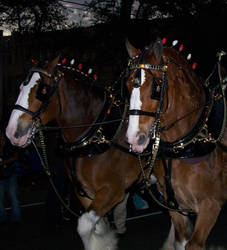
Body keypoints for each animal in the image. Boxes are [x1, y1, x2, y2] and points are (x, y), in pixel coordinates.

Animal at [5, 55, 158, 250]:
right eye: (19, 88)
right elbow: (94, 228)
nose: (12, 132)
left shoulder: (113, 190)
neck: (95, 134)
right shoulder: (85, 193)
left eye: (43, 91)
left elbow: (84, 225)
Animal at [125, 37, 227, 250]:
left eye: (156, 87)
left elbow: (193, 245)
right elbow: (181, 241)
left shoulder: (211, 205)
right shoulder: (175, 207)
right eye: (128, 84)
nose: (134, 139)